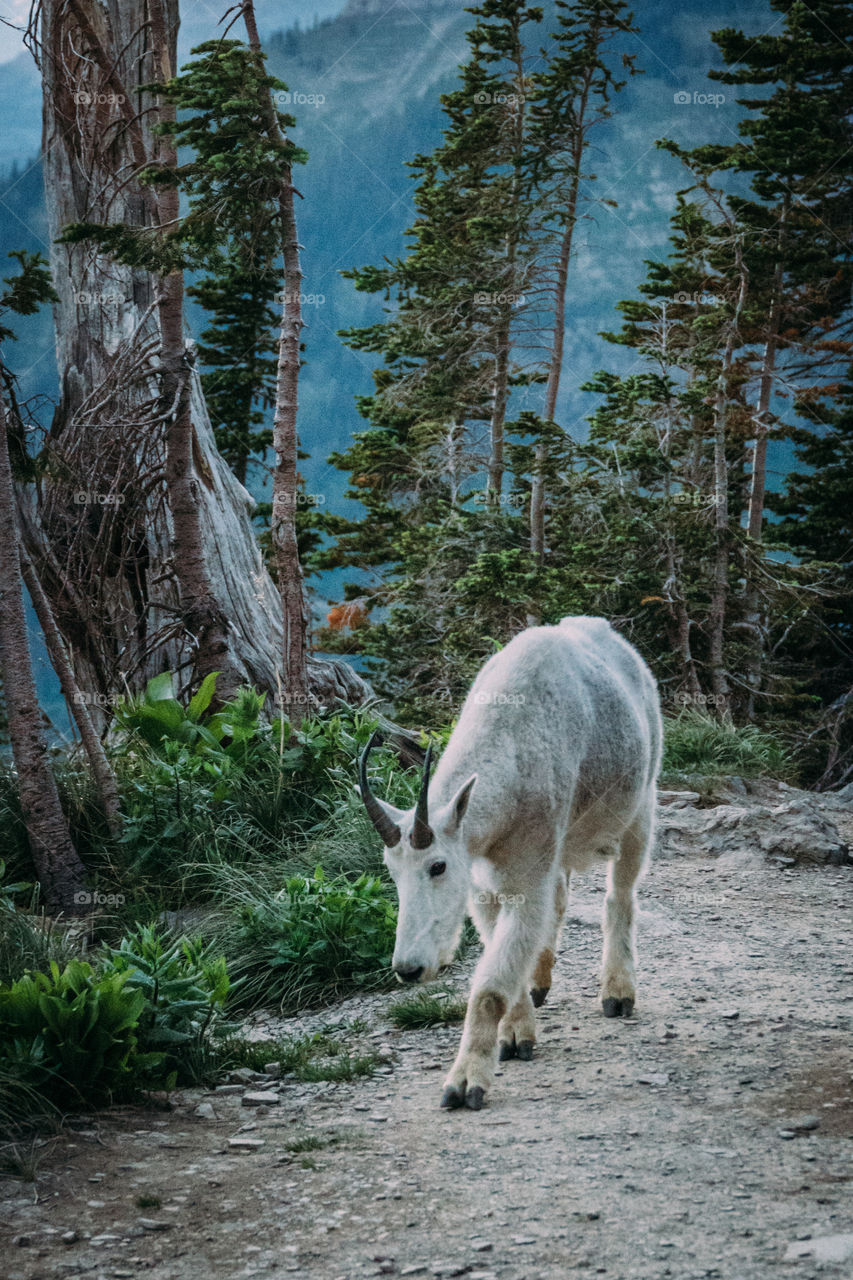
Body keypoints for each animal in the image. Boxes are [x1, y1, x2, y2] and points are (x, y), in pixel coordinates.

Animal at [356, 614, 660, 1105]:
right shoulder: (484, 885)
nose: (408, 969)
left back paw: (618, 991)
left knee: (620, 895)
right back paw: (539, 980)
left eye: (437, 866)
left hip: (641, 806)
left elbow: (489, 988)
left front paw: (465, 1083)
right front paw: (516, 1035)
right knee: (560, 898)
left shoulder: (523, 876)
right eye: (391, 871)